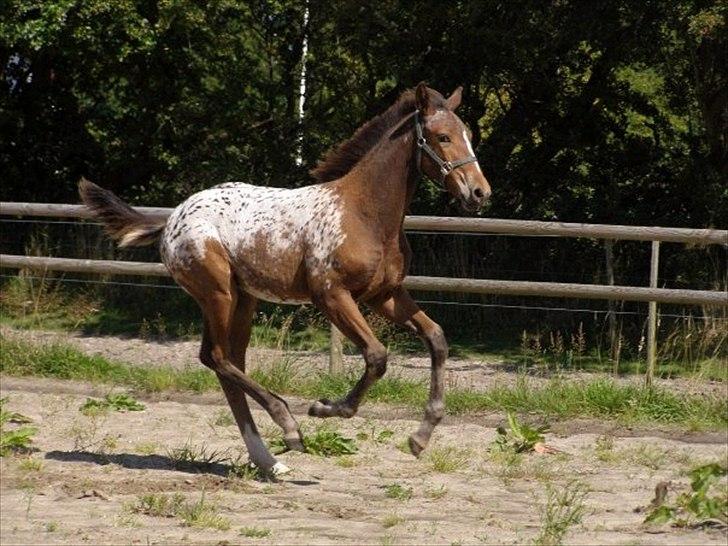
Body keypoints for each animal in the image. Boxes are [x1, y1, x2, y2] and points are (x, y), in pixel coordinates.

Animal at [79, 82, 492, 472]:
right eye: (443, 137)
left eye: (468, 134)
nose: (479, 192)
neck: (364, 214)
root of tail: (172, 218)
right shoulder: (331, 295)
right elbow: (376, 356)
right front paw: (325, 408)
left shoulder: (385, 294)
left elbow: (436, 339)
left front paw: (421, 436)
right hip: (218, 294)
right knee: (215, 357)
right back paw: (289, 426)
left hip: (244, 299)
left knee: (230, 363)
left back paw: (269, 460)